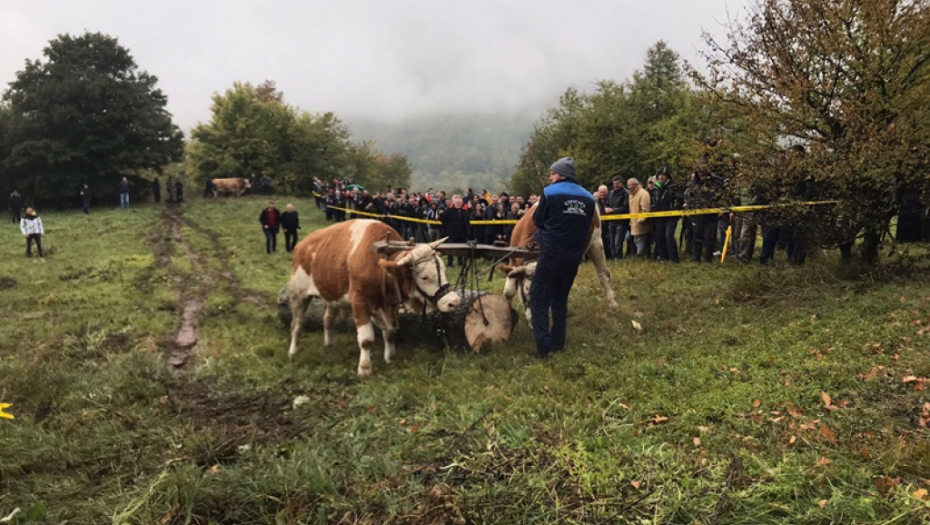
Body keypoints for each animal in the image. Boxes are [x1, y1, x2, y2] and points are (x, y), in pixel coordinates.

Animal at [282, 219, 456, 374]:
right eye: (424, 277)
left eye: (443, 269)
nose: (454, 301)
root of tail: (302, 245)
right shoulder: (360, 302)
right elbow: (366, 339)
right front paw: (365, 368)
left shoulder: (389, 305)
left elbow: (390, 332)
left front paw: (389, 358)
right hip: (299, 294)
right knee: (297, 324)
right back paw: (292, 351)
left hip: (332, 295)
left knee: (328, 320)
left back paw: (329, 345)